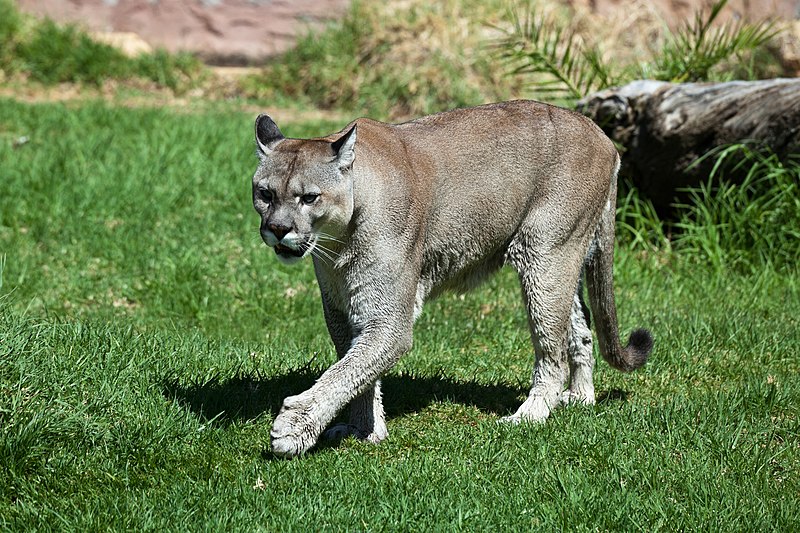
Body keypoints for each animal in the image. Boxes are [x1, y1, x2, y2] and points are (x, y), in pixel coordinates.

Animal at [253, 101, 652, 458]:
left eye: (309, 198)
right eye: (265, 194)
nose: (278, 229)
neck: (338, 242)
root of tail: (600, 133)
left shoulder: (389, 320)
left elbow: (345, 372)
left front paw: (294, 429)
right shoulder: (341, 310)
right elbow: (357, 370)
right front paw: (363, 429)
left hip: (546, 255)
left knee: (551, 354)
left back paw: (529, 415)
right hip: (560, 261)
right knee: (581, 331)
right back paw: (581, 397)